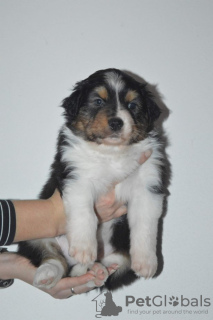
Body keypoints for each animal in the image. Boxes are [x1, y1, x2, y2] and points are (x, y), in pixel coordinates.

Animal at [18, 69, 165, 292]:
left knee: (109, 267)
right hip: (38, 234)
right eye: (98, 101)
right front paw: (83, 248)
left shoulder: (148, 184)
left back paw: (93, 272)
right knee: (51, 257)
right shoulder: (77, 176)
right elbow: (85, 212)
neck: (111, 152)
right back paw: (49, 274)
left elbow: (145, 225)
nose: (116, 122)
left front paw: (147, 262)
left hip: (120, 253)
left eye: (132, 105)